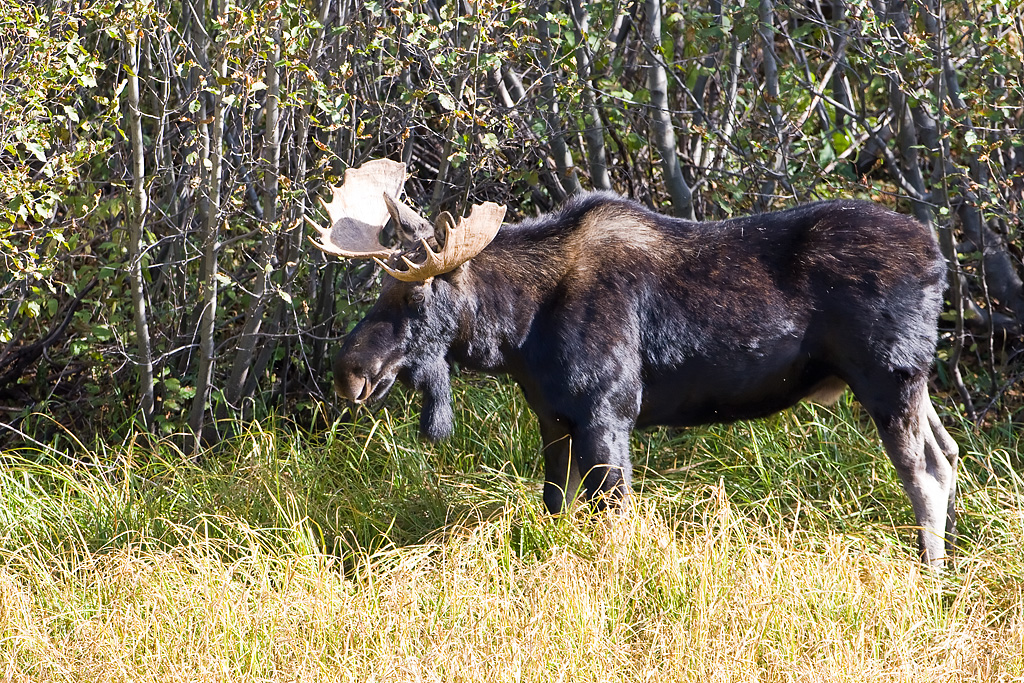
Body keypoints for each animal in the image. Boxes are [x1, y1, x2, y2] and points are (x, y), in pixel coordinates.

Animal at [309, 158, 958, 565]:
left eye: (416, 294)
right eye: (379, 289)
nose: (349, 372)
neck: (518, 332)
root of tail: (939, 258)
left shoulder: (609, 411)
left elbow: (611, 514)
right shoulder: (554, 418)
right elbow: (558, 507)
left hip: (887, 376)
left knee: (924, 471)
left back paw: (928, 578)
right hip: (912, 382)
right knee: (948, 454)